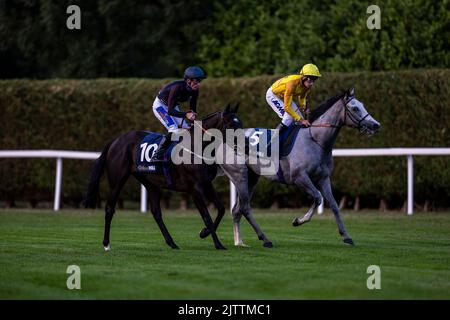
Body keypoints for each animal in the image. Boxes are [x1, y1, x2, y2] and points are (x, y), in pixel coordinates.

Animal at [82, 105, 241, 250]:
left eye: (240, 124)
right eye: (230, 125)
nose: (242, 145)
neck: (197, 147)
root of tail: (116, 140)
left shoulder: (207, 184)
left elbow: (221, 209)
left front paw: (204, 232)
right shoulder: (194, 189)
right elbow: (206, 216)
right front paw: (218, 244)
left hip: (151, 183)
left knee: (156, 212)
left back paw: (171, 242)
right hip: (117, 181)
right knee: (110, 208)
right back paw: (106, 244)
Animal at [200, 89, 380, 246]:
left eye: (362, 104)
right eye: (355, 108)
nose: (376, 125)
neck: (315, 140)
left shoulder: (323, 178)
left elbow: (334, 204)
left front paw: (346, 236)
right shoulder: (300, 178)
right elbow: (318, 198)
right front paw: (298, 221)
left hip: (252, 177)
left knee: (237, 210)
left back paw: (240, 242)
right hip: (240, 176)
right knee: (244, 208)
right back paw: (264, 239)